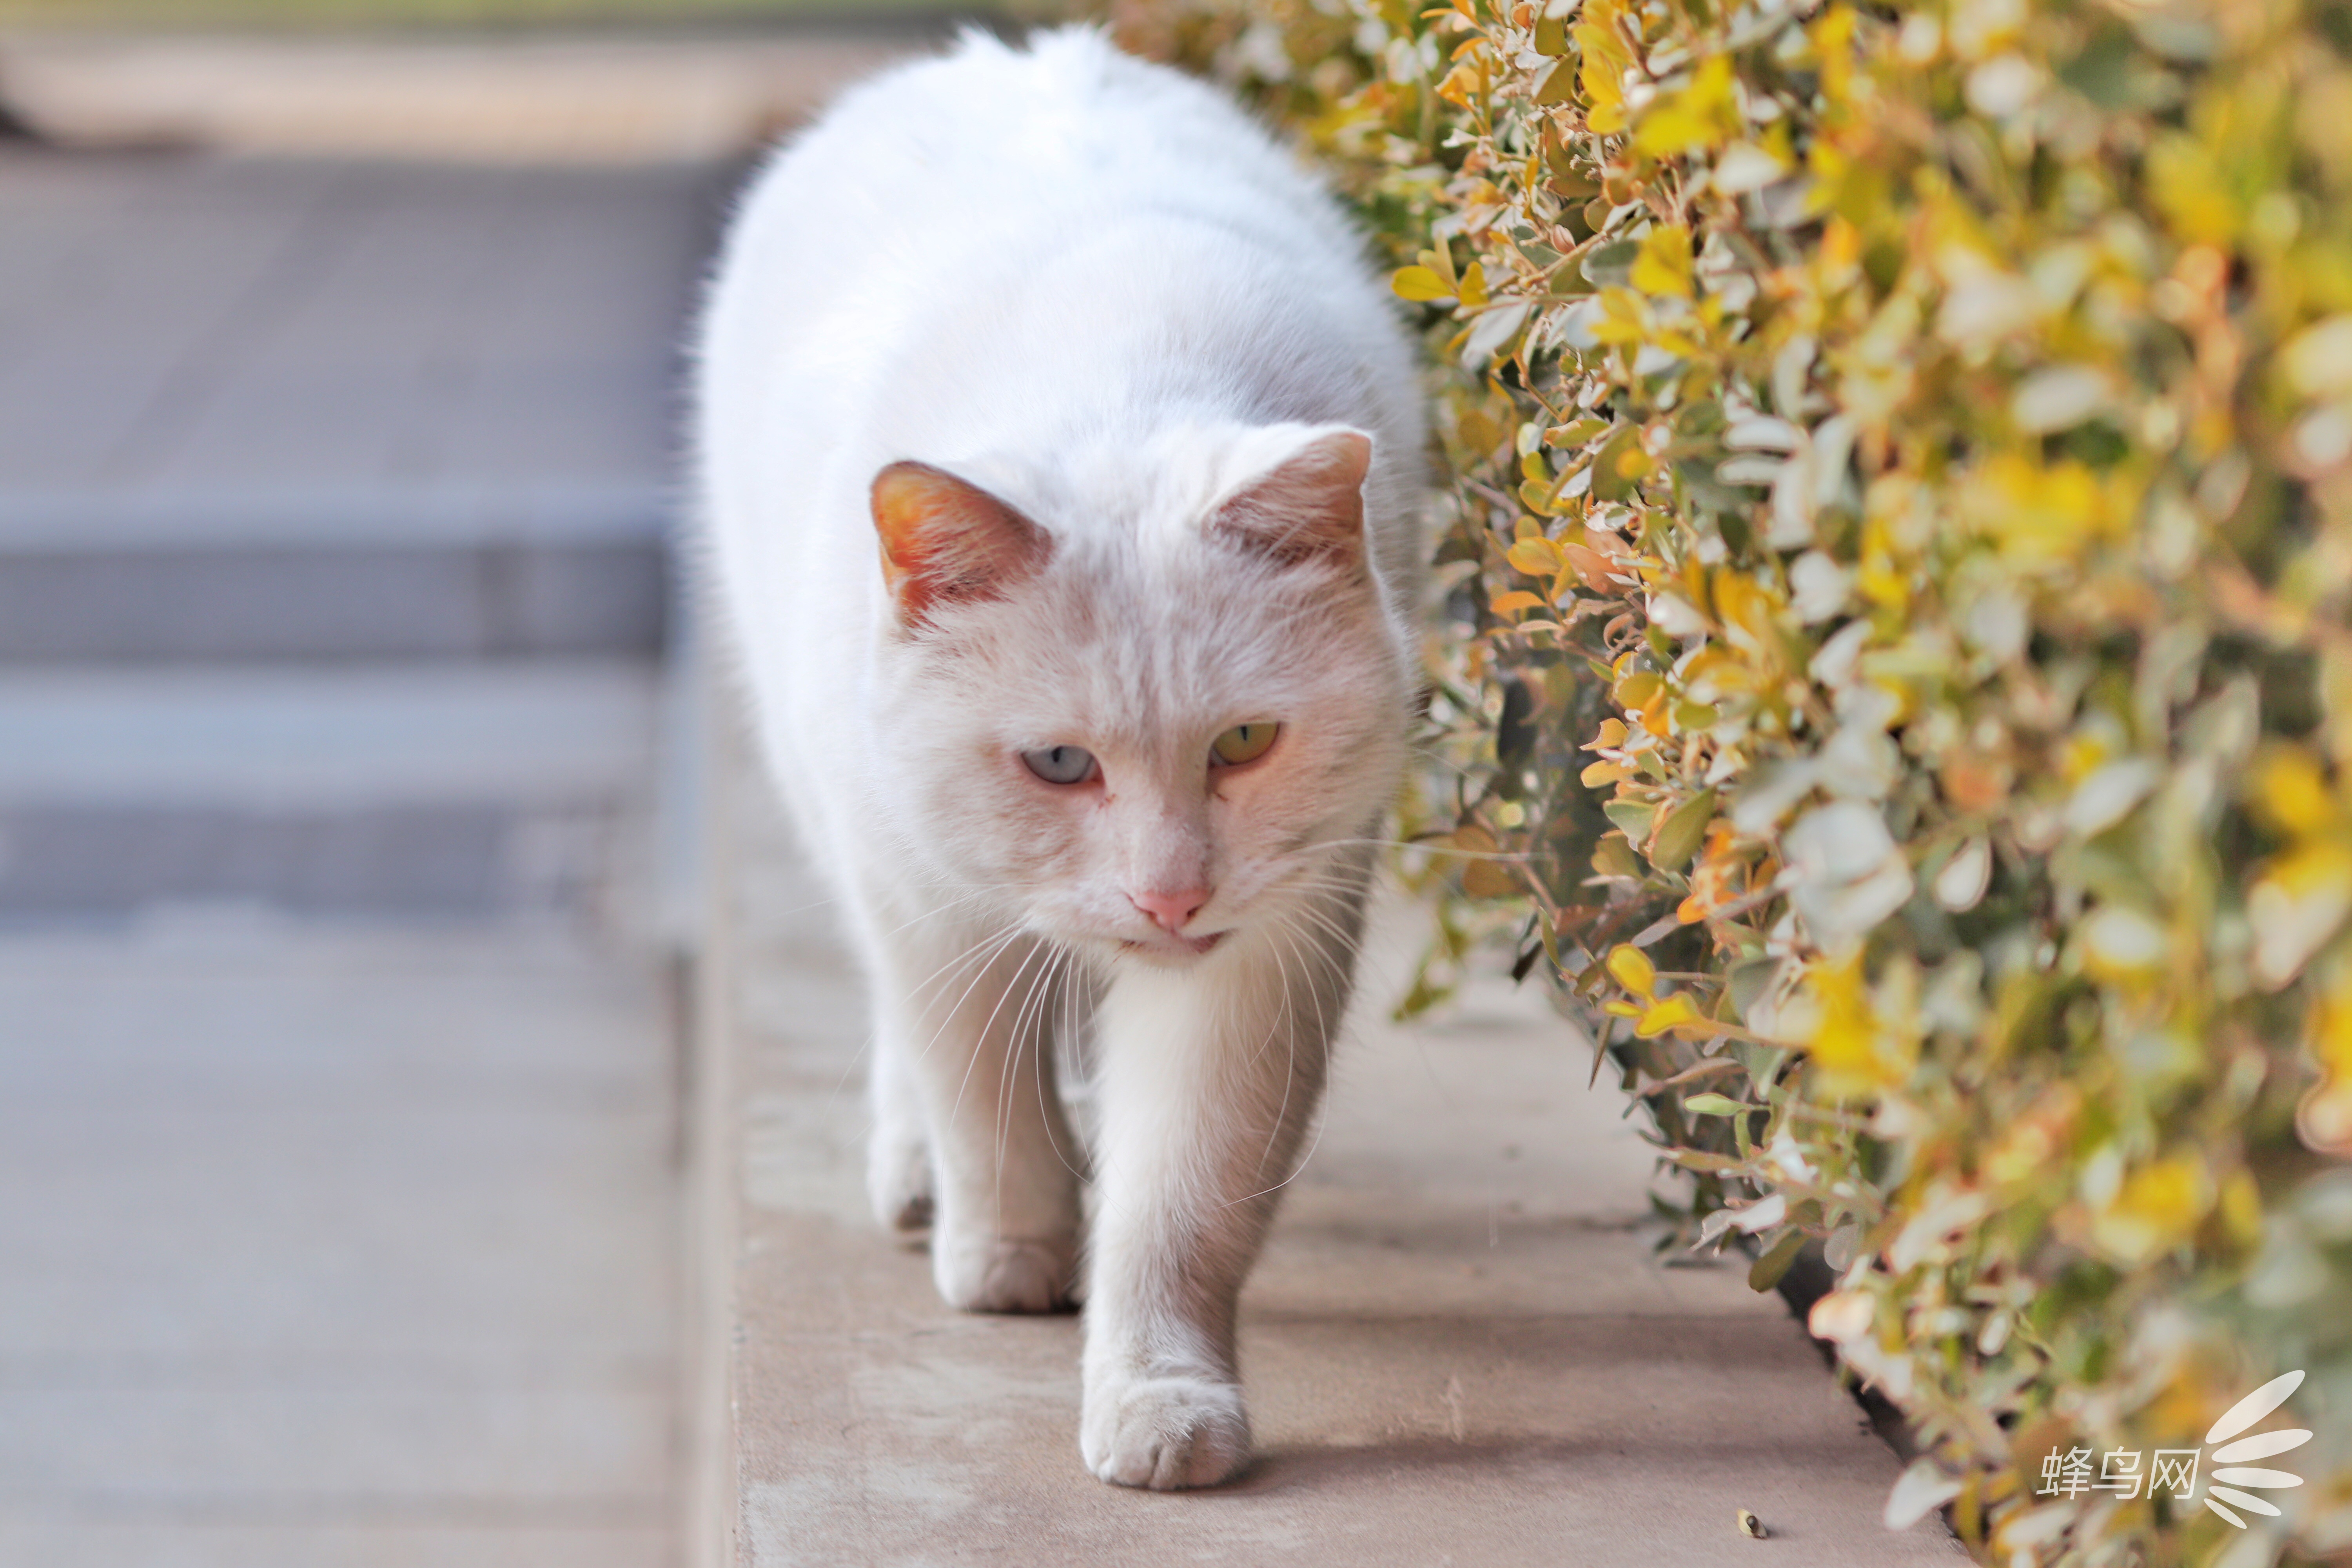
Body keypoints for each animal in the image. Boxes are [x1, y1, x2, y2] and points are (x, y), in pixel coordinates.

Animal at [687, 31, 1421, 1495]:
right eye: (1058, 762)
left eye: (1244, 742)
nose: (1170, 895)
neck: (1113, 375)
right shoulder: (926, 899)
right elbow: (982, 1099)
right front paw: (1011, 1261)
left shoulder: (1268, 949)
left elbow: (1180, 1201)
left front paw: (1159, 1398)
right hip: (845, 813)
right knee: (909, 1040)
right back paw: (918, 1178)